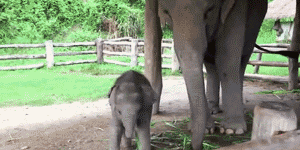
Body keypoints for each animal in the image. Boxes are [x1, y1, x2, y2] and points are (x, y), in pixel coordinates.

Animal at [144, 0, 268, 150]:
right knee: (210, 64)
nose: (194, 145)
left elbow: (227, 56)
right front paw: (206, 129)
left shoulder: (236, 8)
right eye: (167, 13)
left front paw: (232, 130)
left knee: (242, 60)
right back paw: (213, 109)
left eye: (209, 10)